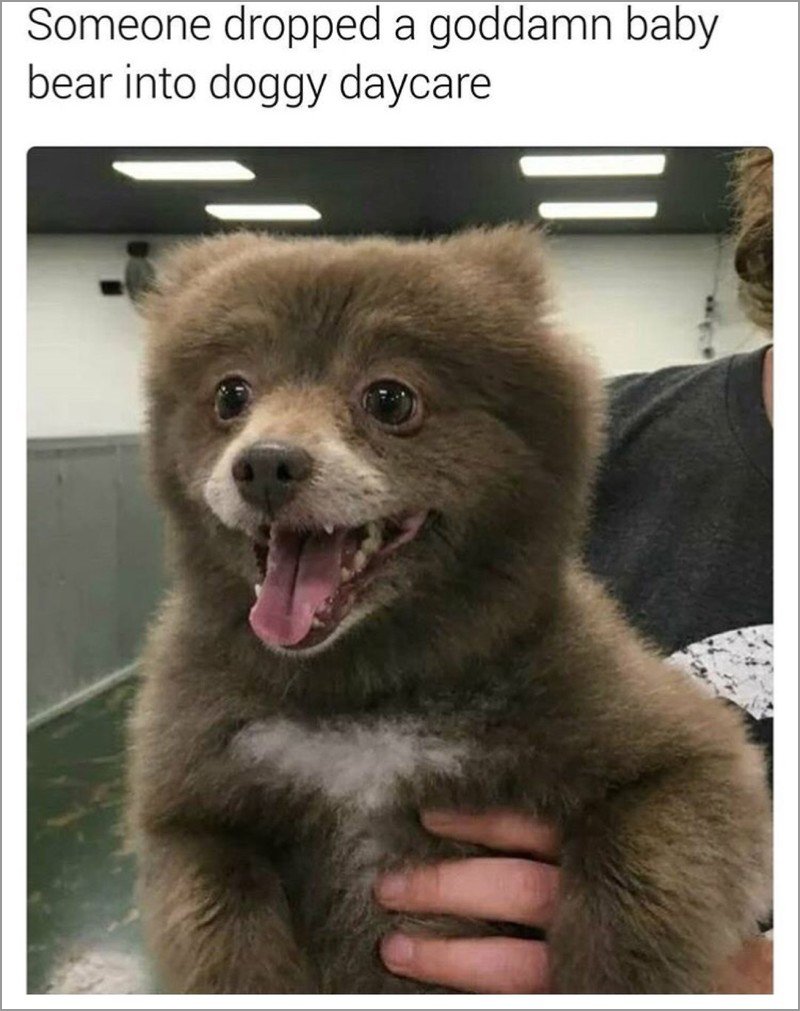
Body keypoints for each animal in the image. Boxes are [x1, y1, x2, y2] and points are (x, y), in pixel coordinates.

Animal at [128, 225, 772, 990]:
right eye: (231, 394)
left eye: (389, 399)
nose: (264, 463)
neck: (365, 695)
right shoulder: (192, 806)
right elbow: (223, 922)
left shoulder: (685, 756)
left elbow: (635, 880)